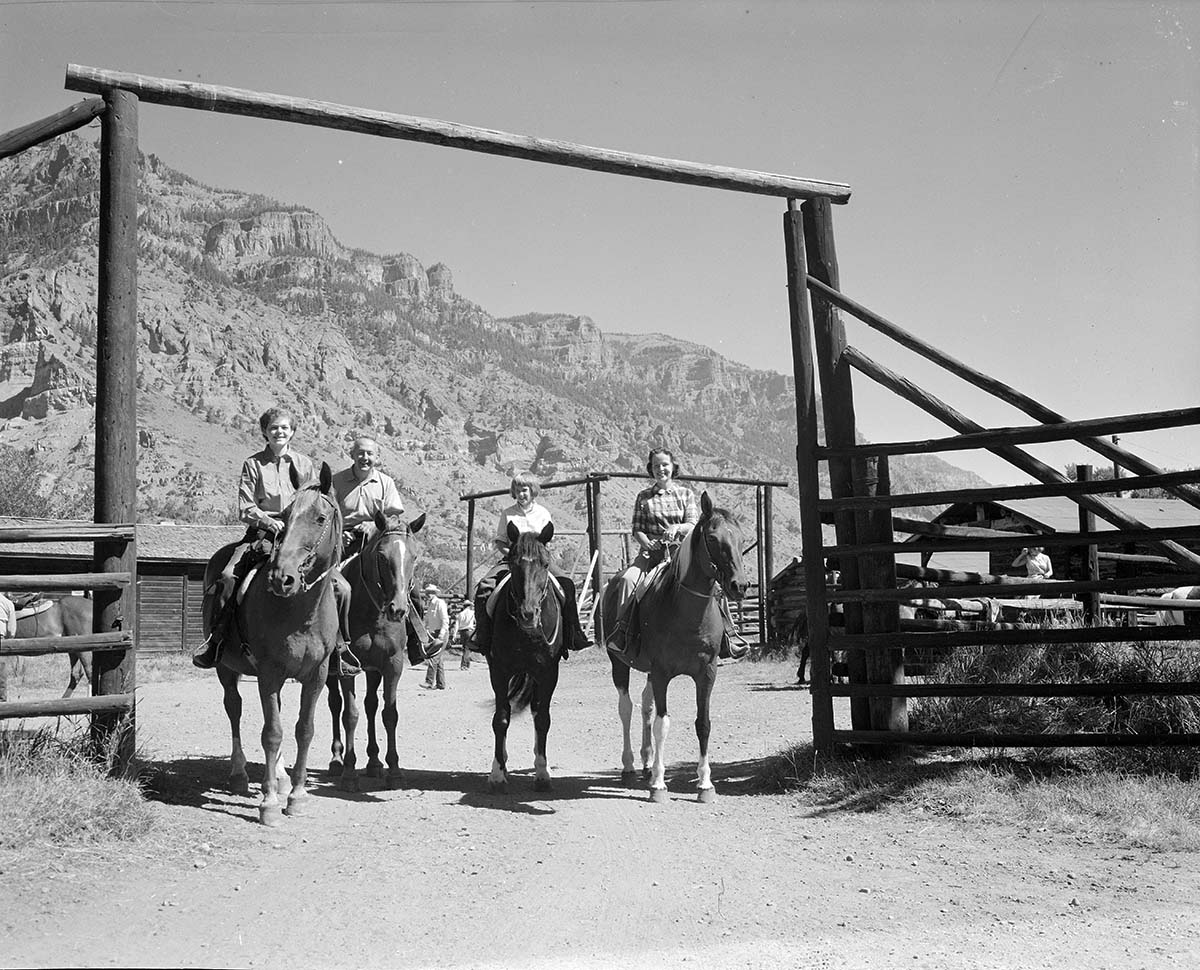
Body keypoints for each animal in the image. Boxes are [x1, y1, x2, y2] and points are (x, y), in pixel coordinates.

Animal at [208, 463, 343, 825]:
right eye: (284, 515)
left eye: (320, 518)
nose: (282, 578)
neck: (299, 612)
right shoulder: (268, 672)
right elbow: (271, 732)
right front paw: (268, 803)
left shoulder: (317, 675)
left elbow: (303, 729)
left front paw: (295, 795)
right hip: (225, 667)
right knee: (233, 708)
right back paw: (239, 775)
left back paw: (281, 778)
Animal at [324, 506, 427, 787]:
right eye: (382, 556)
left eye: (414, 556)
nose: (398, 609)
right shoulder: (347, 667)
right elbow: (350, 714)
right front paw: (349, 773)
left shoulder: (392, 664)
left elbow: (389, 714)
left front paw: (394, 770)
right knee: (335, 703)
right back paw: (336, 760)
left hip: (372, 670)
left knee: (371, 705)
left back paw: (373, 762)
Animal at [484, 518, 564, 792]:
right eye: (513, 562)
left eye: (545, 564)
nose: (528, 614)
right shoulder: (498, 670)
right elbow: (501, 719)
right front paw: (497, 774)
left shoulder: (548, 672)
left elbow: (543, 720)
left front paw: (542, 773)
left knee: (537, 711)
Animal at [600, 492, 748, 801]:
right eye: (713, 538)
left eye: (742, 539)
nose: (739, 585)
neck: (687, 614)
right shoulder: (662, 672)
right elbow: (662, 724)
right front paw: (658, 784)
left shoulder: (707, 673)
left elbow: (703, 724)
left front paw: (705, 784)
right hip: (619, 663)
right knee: (626, 708)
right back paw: (630, 766)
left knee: (645, 705)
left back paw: (646, 763)